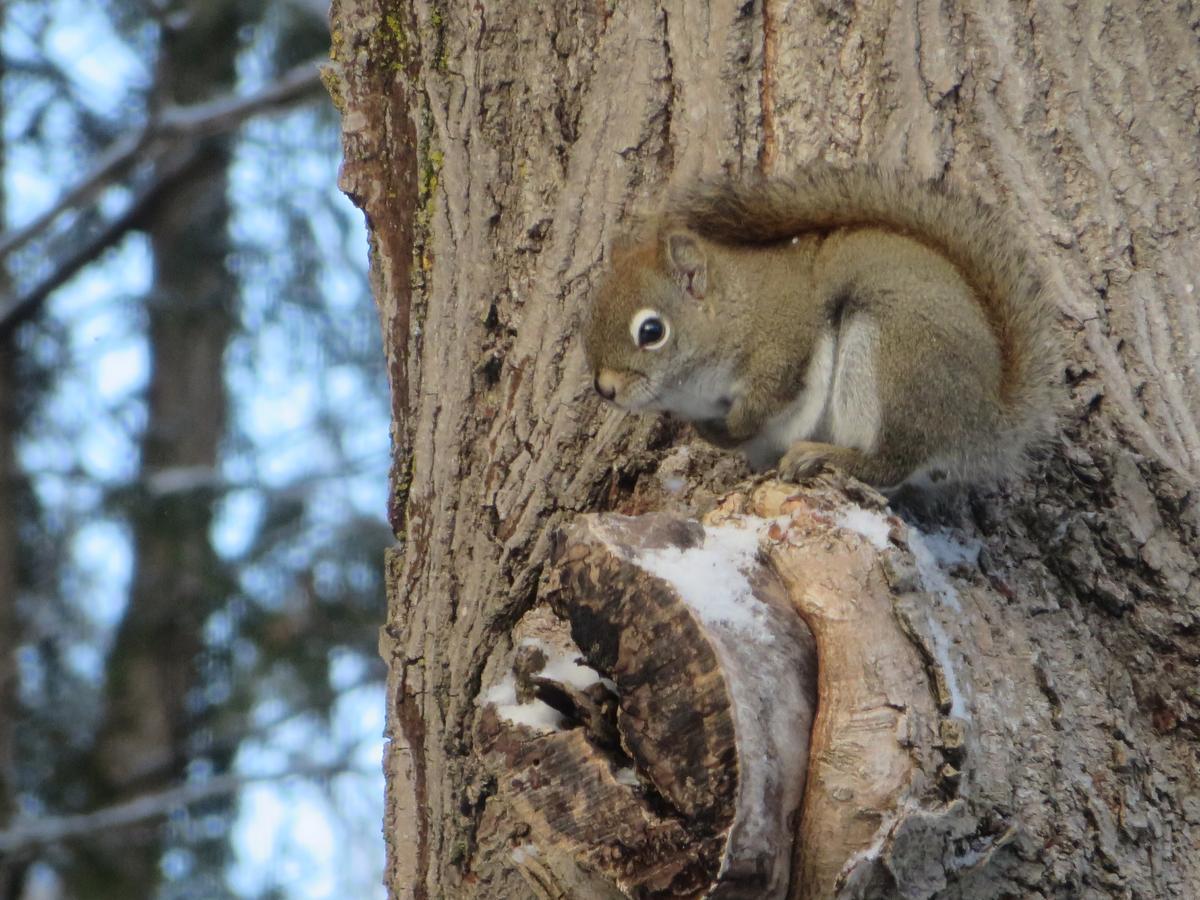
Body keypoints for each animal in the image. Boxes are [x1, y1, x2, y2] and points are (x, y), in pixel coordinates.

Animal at [583, 160, 1060, 487]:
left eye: (652, 332)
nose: (604, 389)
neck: (739, 311)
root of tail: (987, 420)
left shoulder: (782, 345)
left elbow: (765, 402)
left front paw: (724, 428)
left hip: (895, 361)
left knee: (890, 465)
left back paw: (824, 457)